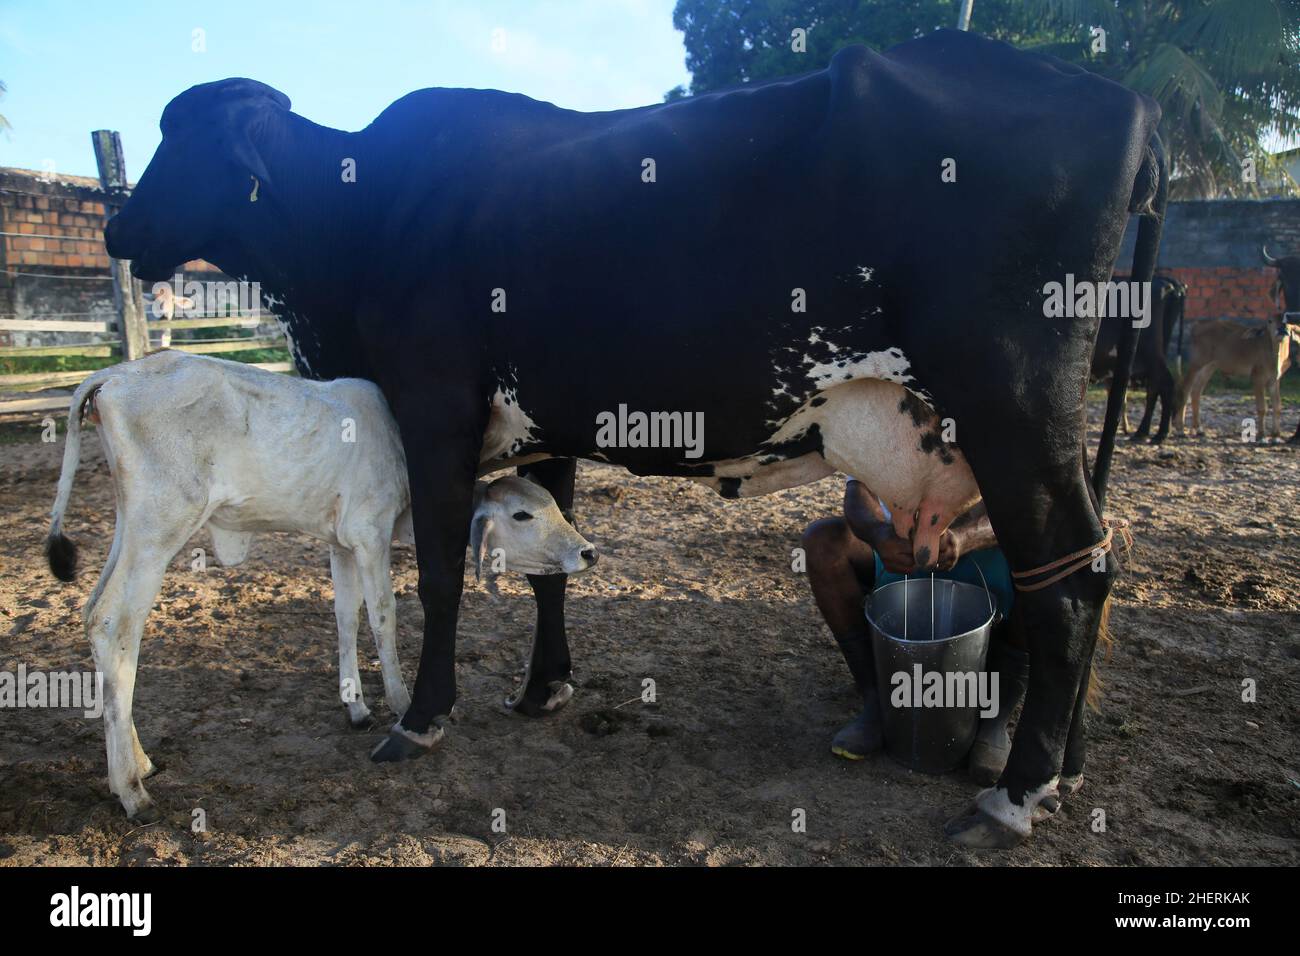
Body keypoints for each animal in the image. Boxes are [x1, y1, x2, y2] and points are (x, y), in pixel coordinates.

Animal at [47, 351, 598, 822]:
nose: (587, 551)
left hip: (130, 525)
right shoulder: (370, 535)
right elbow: (382, 614)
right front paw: (403, 705)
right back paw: (131, 790)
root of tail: (115, 375)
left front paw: (356, 706)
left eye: (553, 504)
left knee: (94, 613)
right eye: (522, 515)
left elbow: (345, 616)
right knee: (115, 622)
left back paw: (139, 762)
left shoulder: (341, 543)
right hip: (158, 528)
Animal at [106, 29, 1170, 848]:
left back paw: (1014, 794)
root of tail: (1125, 101)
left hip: (1012, 408)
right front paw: (546, 687)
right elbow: (548, 563)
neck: (358, 217)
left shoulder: (435, 405)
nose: (117, 226)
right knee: (1091, 569)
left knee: (1067, 587)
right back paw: (1060, 765)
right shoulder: (540, 425)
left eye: (181, 137)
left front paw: (422, 716)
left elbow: (442, 572)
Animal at [1086, 274, 1190, 442]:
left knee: (1165, 384)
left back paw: (1160, 433)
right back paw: (1143, 431)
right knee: (1154, 388)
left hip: (1152, 353)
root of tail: (1164, 280)